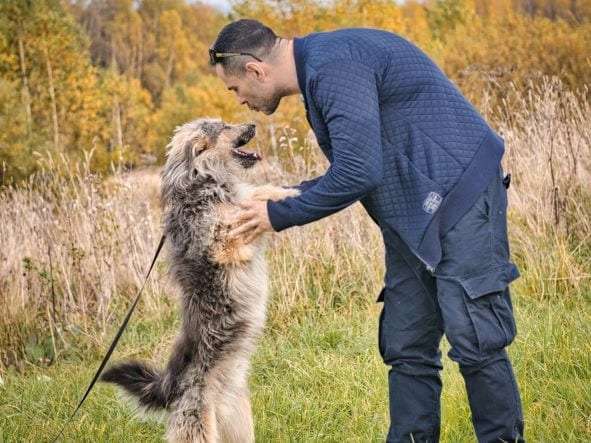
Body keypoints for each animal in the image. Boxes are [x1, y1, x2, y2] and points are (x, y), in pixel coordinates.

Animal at [100, 116, 300, 442]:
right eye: (226, 127)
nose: (253, 124)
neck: (200, 179)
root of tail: (170, 386)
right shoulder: (222, 238)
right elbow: (242, 208)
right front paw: (284, 195)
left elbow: (252, 194)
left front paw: (285, 190)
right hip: (196, 426)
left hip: (239, 420)